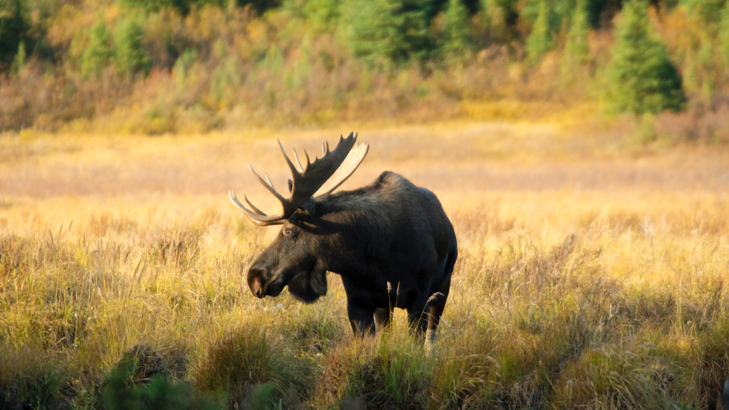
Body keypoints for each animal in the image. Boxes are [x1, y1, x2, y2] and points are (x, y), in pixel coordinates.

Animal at [229, 133, 456, 344]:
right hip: (386, 305)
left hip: (442, 288)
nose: (254, 277)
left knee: (431, 336)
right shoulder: (358, 301)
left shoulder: (419, 296)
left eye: (288, 231)